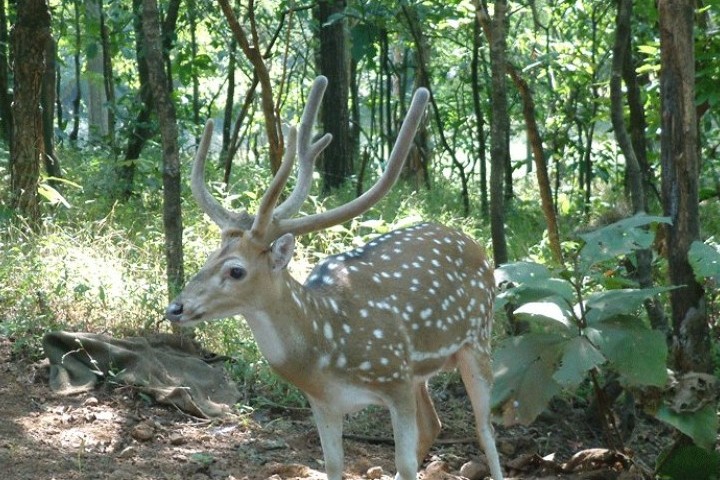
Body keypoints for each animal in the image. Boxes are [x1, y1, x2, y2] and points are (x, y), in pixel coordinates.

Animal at [166, 76, 504, 480]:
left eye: (236, 270)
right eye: (208, 258)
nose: (175, 307)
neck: (325, 347)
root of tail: (475, 245)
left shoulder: (394, 378)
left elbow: (406, 464)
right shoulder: (323, 402)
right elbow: (333, 465)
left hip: (477, 337)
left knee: (485, 429)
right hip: (422, 370)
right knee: (434, 424)